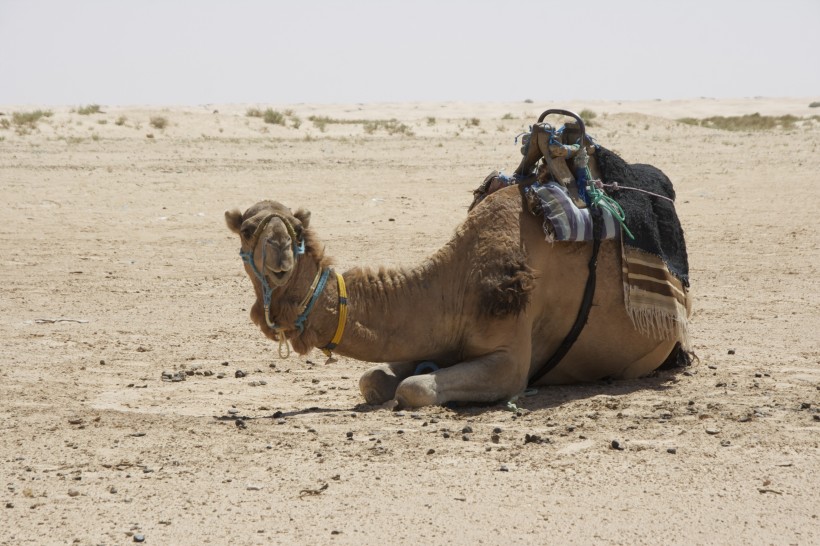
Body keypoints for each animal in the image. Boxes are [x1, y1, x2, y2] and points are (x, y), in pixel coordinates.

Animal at [226, 189, 692, 406]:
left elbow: (414, 388)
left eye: (296, 232)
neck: (455, 283)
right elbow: (373, 379)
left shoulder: (510, 361)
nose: (281, 255)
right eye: (247, 230)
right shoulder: (423, 343)